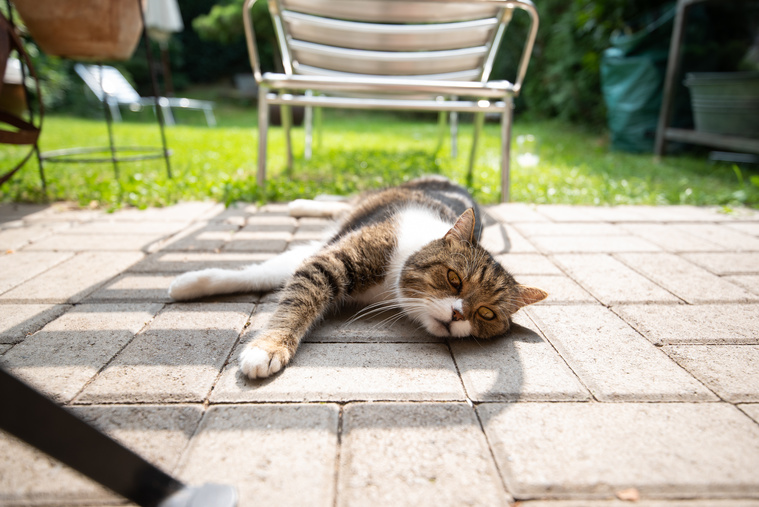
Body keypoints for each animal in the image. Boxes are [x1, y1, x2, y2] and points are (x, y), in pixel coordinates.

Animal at [168, 177, 548, 380]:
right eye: (454, 278)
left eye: (485, 313)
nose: (457, 315)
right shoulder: (332, 259)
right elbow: (291, 294)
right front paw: (268, 347)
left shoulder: (319, 253)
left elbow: (267, 274)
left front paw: (192, 283)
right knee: (344, 201)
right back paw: (304, 202)